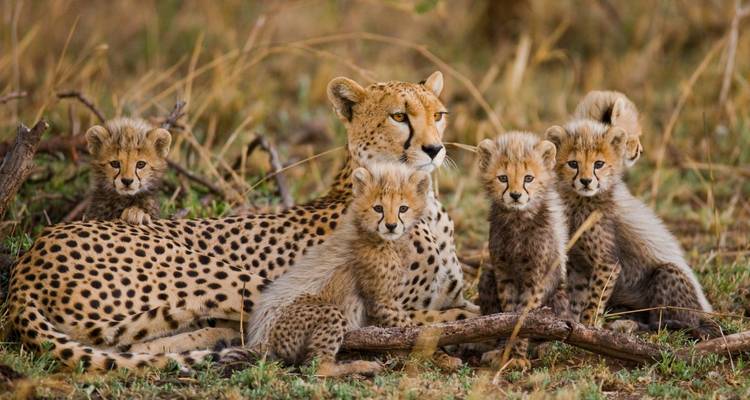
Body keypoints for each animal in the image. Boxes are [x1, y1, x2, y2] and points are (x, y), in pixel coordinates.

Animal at [7, 71, 477, 371]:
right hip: (228, 276)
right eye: (399, 116)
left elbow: (464, 307)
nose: (435, 149)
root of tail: (29, 259)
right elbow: (443, 318)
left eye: (438, 115)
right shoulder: (392, 304)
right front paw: (447, 346)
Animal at [474, 132, 568, 370]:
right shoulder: (503, 272)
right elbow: (507, 314)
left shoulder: (535, 278)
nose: (516, 195)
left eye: (528, 178)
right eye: (503, 178)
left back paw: (546, 346)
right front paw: (504, 352)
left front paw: (517, 355)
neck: (517, 219)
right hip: (487, 276)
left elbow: (524, 316)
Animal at [544, 120, 717, 339]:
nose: (586, 181)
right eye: (573, 164)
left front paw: (589, 326)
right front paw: (574, 325)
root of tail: (706, 313)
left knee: (670, 323)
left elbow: (594, 299)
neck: (580, 201)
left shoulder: (608, 264)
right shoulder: (578, 264)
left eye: (598, 164)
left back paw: (630, 326)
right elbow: (578, 297)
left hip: (667, 276)